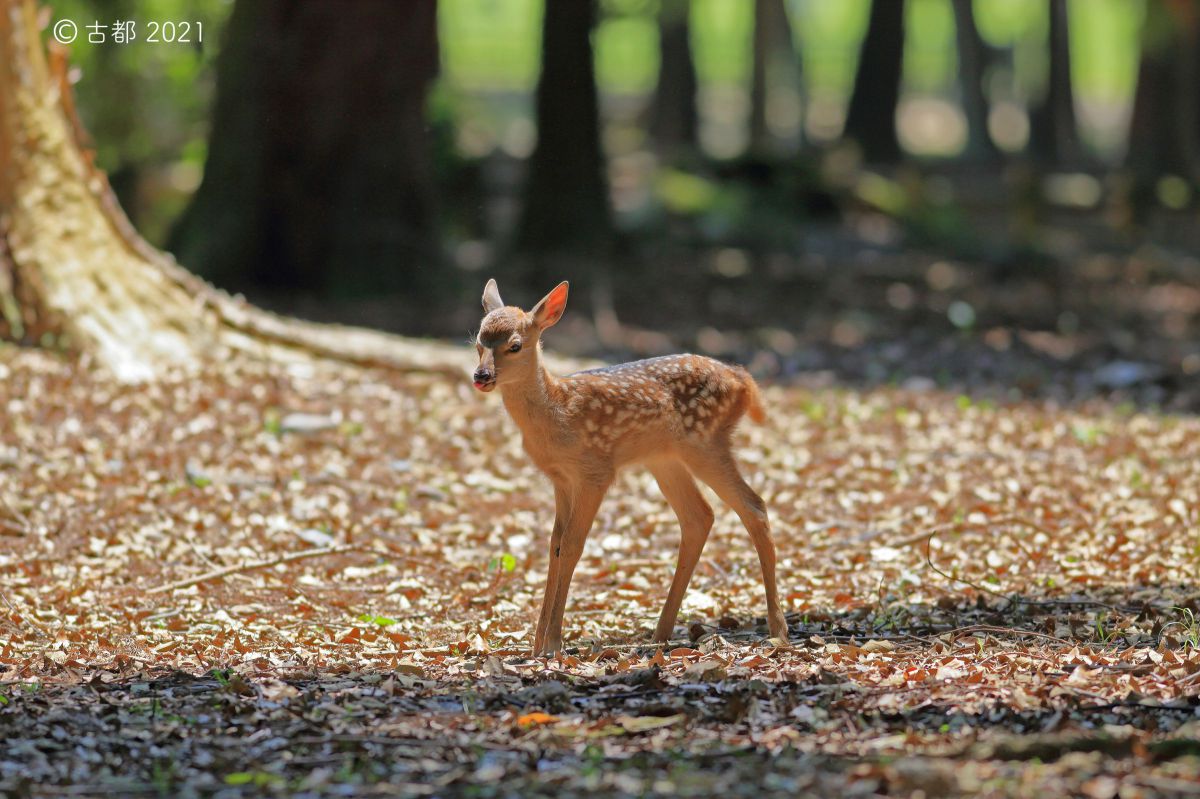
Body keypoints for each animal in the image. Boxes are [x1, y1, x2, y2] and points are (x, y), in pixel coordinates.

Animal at [472, 279, 788, 656]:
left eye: (515, 345)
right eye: (478, 342)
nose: (481, 376)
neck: (558, 413)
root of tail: (743, 379)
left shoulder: (595, 471)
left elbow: (574, 545)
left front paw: (554, 644)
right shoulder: (561, 479)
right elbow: (556, 545)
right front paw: (537, 647)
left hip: (705, 442)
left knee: (754, 507)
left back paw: (778, 630)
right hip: (665, 459)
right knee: (699, 516)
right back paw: (660, 634)